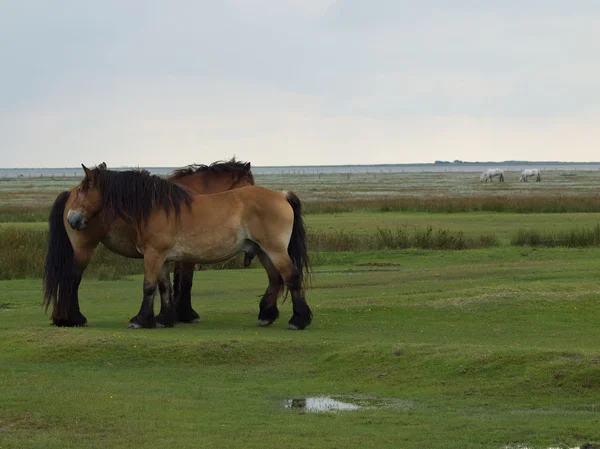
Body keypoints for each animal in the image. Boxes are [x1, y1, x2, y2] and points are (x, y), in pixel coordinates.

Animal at [42, 160, 253, 326]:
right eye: (250, 183)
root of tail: (67, 194)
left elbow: (168, 284)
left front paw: (167, 315)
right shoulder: (186, 256)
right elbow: (185, 282)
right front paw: (185, 314)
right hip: (83, 248)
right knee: (73, 278)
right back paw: (74, 318)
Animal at [68, 164, 314, 328]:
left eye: (80, 190)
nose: (71, 219)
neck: (154, 207)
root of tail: (281, 195)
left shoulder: (153, 255)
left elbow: (148, 287)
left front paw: (141, 320)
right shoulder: (162, 258)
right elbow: (164, 287)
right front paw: (164, 319)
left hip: (275, 250)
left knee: (291, 277)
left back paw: (298, 320)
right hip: (263, 251)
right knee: (275, 278)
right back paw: (266, 316)